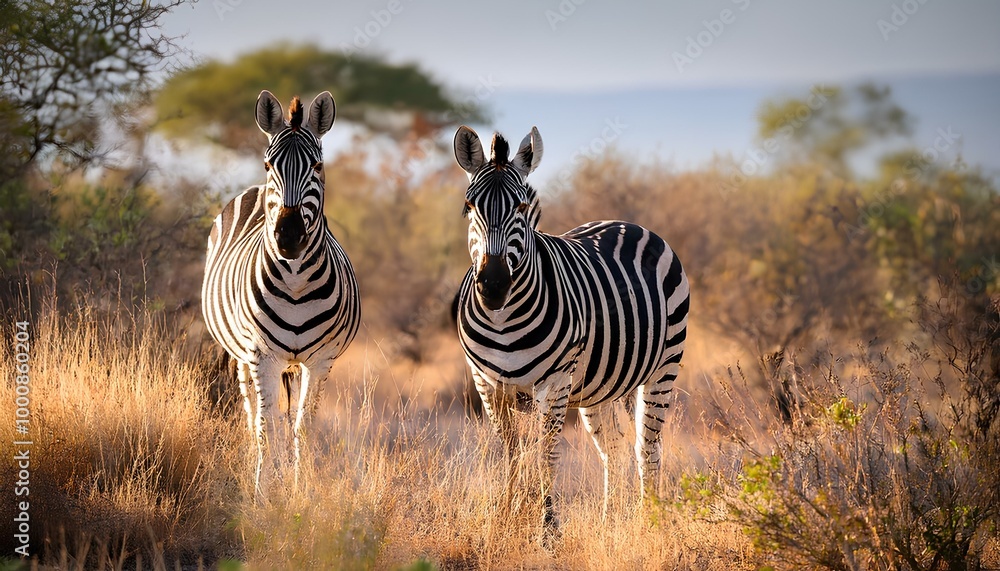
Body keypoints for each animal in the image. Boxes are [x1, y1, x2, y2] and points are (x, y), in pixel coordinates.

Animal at [201, 90, 361, 493]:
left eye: (318, 166)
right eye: (268, 163)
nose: (288, 236)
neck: (296, 281)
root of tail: (254, 191)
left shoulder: (320, 361)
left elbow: (303, 426)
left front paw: (300, 488)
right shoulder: (262, 356)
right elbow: (266, 425)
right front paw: (263, 490)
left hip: (294, 364)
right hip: (242, 356)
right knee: (251, 412)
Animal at [452, 125, 689, 532]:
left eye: (521, 208)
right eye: (469, 207)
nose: (493, 286)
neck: (502, 320)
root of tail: (628, 224)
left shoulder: (556, 381)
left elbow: (546, 454)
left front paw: (546, 527)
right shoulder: (485, 382)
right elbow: (510, 451)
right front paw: (506, 517)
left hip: (663, 367)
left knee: (648, 447)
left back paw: (648, 523)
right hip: (601, 386)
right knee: (613, 447)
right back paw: (610, 523)